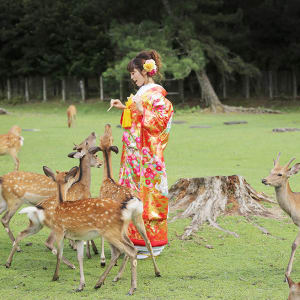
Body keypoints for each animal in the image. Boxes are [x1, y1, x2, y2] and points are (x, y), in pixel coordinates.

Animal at [7, 165, 159, 294]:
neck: (59, 206)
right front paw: (81, 285)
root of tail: (124, 208)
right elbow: (79, 257)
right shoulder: (78, 238)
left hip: (111, 233)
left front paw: (55, 276)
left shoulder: (60, 230)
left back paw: (131, 288)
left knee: (130, 250)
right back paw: (100, 283)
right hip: (117, 232)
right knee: (127, 249)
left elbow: (59, 253)